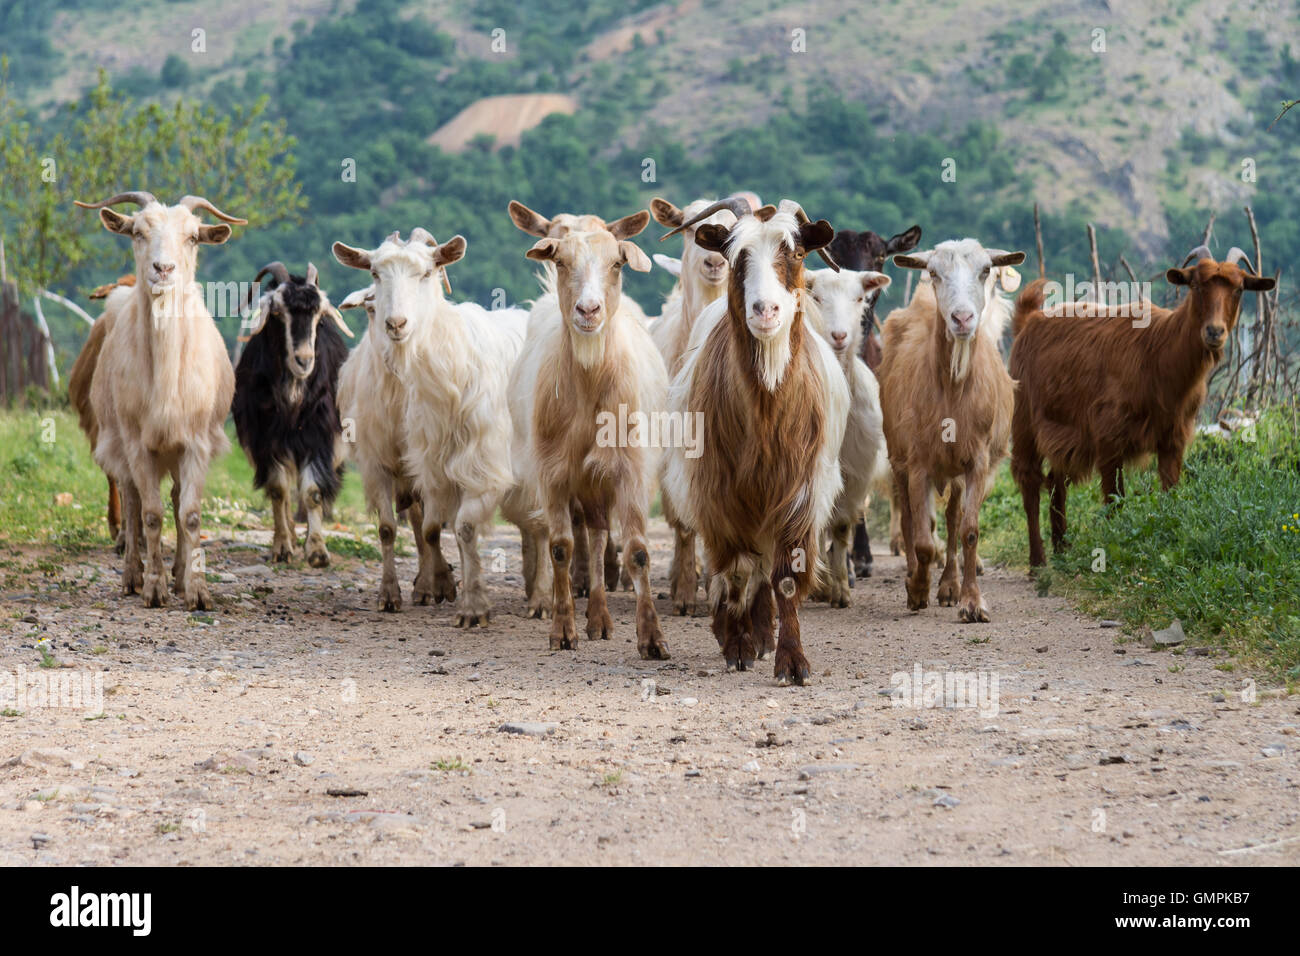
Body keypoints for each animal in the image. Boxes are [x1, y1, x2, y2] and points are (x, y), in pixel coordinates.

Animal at [76, 191, 245, 608]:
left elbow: (191, 514)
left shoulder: (197, 442)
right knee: (132, 499)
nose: (163, 268)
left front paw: (196, 589)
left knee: (175, 496)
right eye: (137, 232)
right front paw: (154, 587)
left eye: (193, 237)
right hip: (118, 442)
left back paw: (180, 574)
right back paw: (132, 574)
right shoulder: (137, 442)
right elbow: (151, 513)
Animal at [228, 257, 351, 564]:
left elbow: (313, 492)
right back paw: (292, 539)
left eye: (320, 316)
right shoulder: (265, 437)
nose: (304, 360)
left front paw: (317, 550)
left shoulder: (319, 434)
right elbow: (278, 489)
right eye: (277, 312)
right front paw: (282, 546)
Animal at [665, 197, 847, 686]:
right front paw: (737, 647)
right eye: (735, 256)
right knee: (732, 569)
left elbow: (783, 576)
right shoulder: (717, 490)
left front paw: (792, 661)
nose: (765, 310)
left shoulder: (801, 489)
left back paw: (765, 634)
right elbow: (734, 572)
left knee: (763, 569)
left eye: (797, 253)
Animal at [878, 239, 1029, 624]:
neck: (953, 386)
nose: (961, 318)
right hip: (898, 458)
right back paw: (917, 577)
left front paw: (971, 601)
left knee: (952, 517)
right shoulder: (917, 462)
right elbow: (921, 538)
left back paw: (949, 585)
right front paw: (917, 590)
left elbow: (969, 530)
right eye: (933, 272)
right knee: (912, 520)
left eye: (986, 270)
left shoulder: (978, 461)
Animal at [1008, 243, 1274, 564]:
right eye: (1196, 285)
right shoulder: (1108, 440)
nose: (1214, 332)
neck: (1158, 353)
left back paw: (1062, 548)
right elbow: (1115, 501)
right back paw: (1038, 560)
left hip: (1064, 433)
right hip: (1024, 423)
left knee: (1056, 479)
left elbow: (1171, 494)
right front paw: (1115, 547)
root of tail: (1029, 321)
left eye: (1238, 289)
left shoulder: (1173, 440)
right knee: (1030, 481)